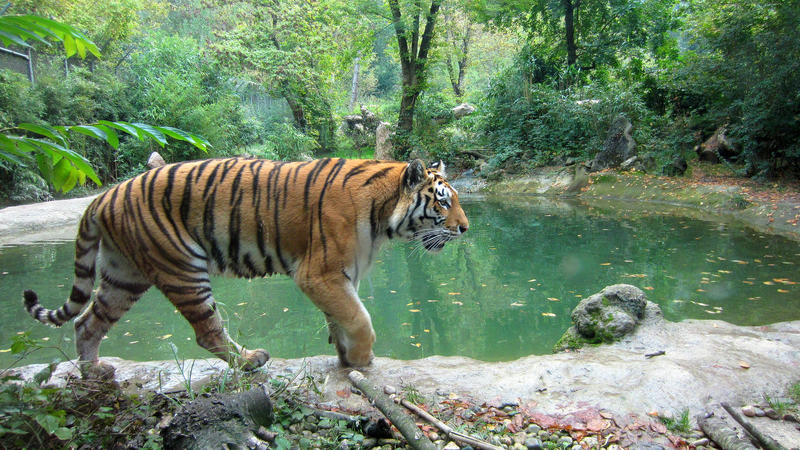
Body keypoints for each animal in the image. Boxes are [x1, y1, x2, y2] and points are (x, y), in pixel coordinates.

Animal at [23, 157, 468, 376]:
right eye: (443, 201)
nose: (465, 228)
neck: (382, 216)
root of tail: (104, 196)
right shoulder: (319, 272)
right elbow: (359, 318)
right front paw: (361, 360)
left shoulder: (340, 276)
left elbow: (342, 316)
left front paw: (344, 356)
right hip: (183, 268)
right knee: (207, 332)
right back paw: (249, 360)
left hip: (123, 275)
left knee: (87, 322)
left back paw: (93, 372)